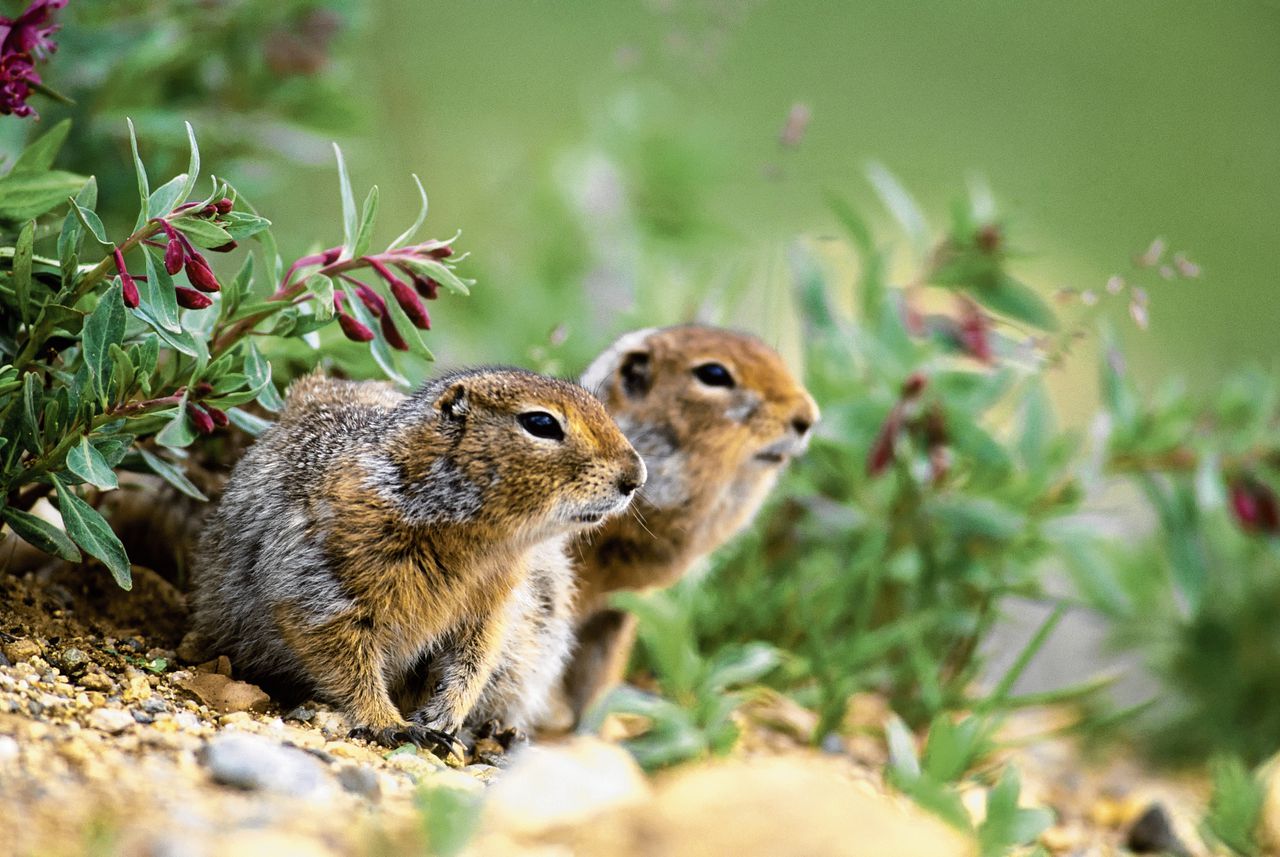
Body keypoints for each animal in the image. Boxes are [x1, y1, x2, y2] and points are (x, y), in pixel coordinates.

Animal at [185, 368, 645, 752]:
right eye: (541, 424)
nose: (636, 477)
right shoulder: (321, 588)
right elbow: (345, 660)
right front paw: (390, 723)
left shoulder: (495, 604)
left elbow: (476, 658)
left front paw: (444, 716)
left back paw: (502, 731)